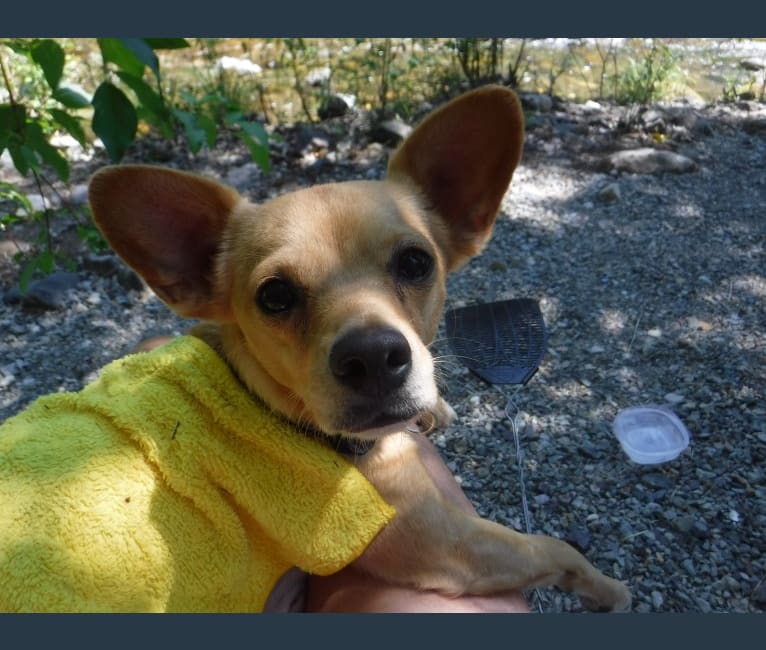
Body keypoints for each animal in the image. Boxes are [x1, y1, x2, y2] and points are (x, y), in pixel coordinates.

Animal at [0, 86, 632, 608]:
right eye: (274, 296)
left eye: (416, 263)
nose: (373, 357)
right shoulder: (452, 543)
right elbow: (553, 548)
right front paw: (609, 590)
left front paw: (436, 407)